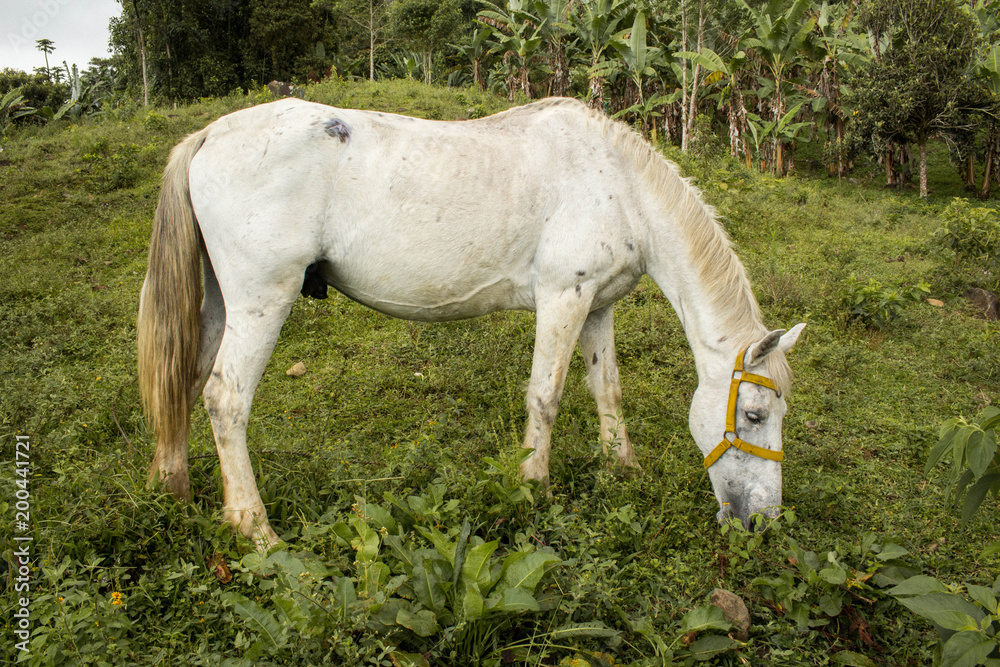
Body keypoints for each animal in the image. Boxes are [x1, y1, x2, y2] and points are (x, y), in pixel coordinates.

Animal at [138, 97, 805, 547]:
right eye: (754, 414)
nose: (762, 523)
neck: (618, 184)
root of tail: (209, 134)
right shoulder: (563, 298)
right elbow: (546, 396)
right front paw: (532, 486)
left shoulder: (597, 305)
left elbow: (607, 390)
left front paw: (623, 469)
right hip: (261, 302)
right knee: (225, 398)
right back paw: (256, 530)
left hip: (221, 304)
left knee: (185, 381)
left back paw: (173, 490)